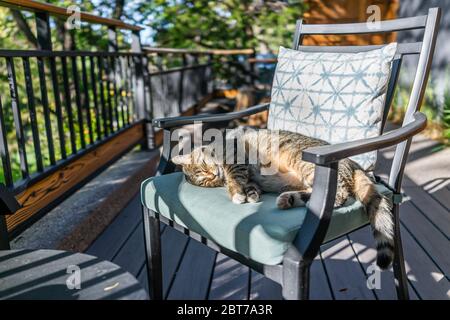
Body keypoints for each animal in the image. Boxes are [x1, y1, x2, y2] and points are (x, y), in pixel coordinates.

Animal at [172, 129, 394, 268]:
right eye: (207, 181)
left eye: (203, 166)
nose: (214, 175)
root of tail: (354, 163)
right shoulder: (250, 178)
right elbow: (249, 186)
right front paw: (249, 195)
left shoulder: (236, 157)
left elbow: (235, 176)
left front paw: (236, 193)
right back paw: (288, 199)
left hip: (306, 165)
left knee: (340, 195)